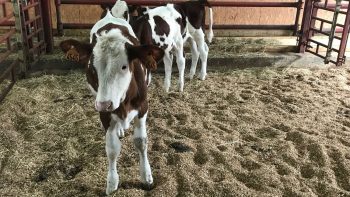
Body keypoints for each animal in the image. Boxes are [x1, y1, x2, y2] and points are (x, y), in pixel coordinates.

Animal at [60, 11, 164, 195]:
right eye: (91, 67)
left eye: (124, 66)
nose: (104, 104)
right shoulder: (104, 112)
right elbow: (112, 148)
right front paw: (112, 183)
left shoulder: (143, 107)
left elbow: (141, 142)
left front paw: (146, 177)